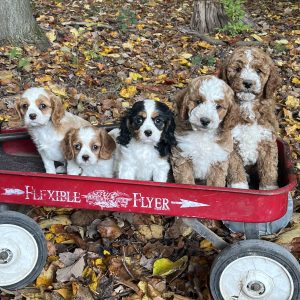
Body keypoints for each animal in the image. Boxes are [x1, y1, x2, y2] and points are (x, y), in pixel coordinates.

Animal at [221, 46, 280, 190]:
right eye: (237, 69)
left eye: (258, 71)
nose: (247, 83)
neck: (248, 105)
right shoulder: (231, 143)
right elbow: (236, 168)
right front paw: (239, 187)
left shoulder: (267, 139)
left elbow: (269, 168)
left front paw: (269, 189)